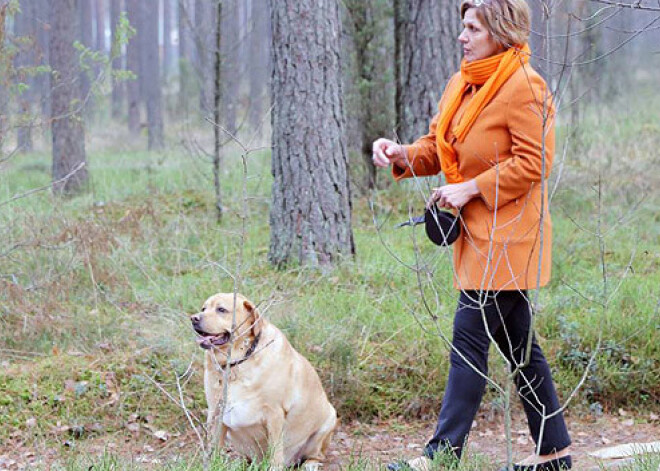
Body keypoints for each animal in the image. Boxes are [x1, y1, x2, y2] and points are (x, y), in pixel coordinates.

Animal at [189, 294, 336, 470]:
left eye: (221, 309)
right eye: (203, 308)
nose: (194, 318)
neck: (236, 364)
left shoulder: (274, 413)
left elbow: (275, 452)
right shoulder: (216, 413)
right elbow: (213, 449)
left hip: (328, 421)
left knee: (316, 455)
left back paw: (310, 464)